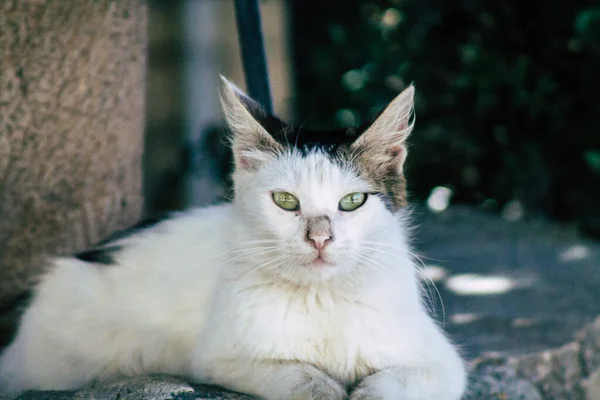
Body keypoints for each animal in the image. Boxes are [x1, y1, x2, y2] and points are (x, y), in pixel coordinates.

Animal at [0, 76, 468, 398]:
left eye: (352, 201)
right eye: (285, 200)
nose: (319, 238)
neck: (320, 300)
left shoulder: (441, 364)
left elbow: (392, 383)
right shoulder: (219, 358)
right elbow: (301, 377)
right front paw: (325, 386)